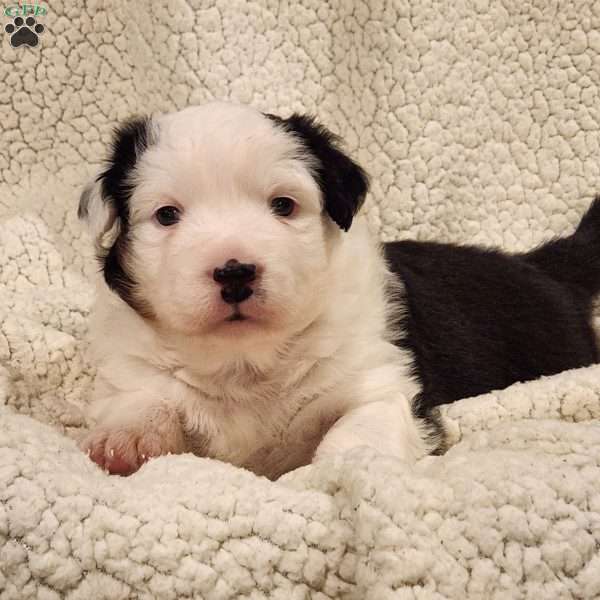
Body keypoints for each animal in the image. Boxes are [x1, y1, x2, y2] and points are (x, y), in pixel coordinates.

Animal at [79, 103, 600, 478]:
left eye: (283, 205)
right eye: (167, 215)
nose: (235, 272)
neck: (246, 362)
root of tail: (539, 263)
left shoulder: (383, 380)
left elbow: (356, 432)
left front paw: (343, 472)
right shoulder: (134, 365)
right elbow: (143, 395)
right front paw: (125, 438)